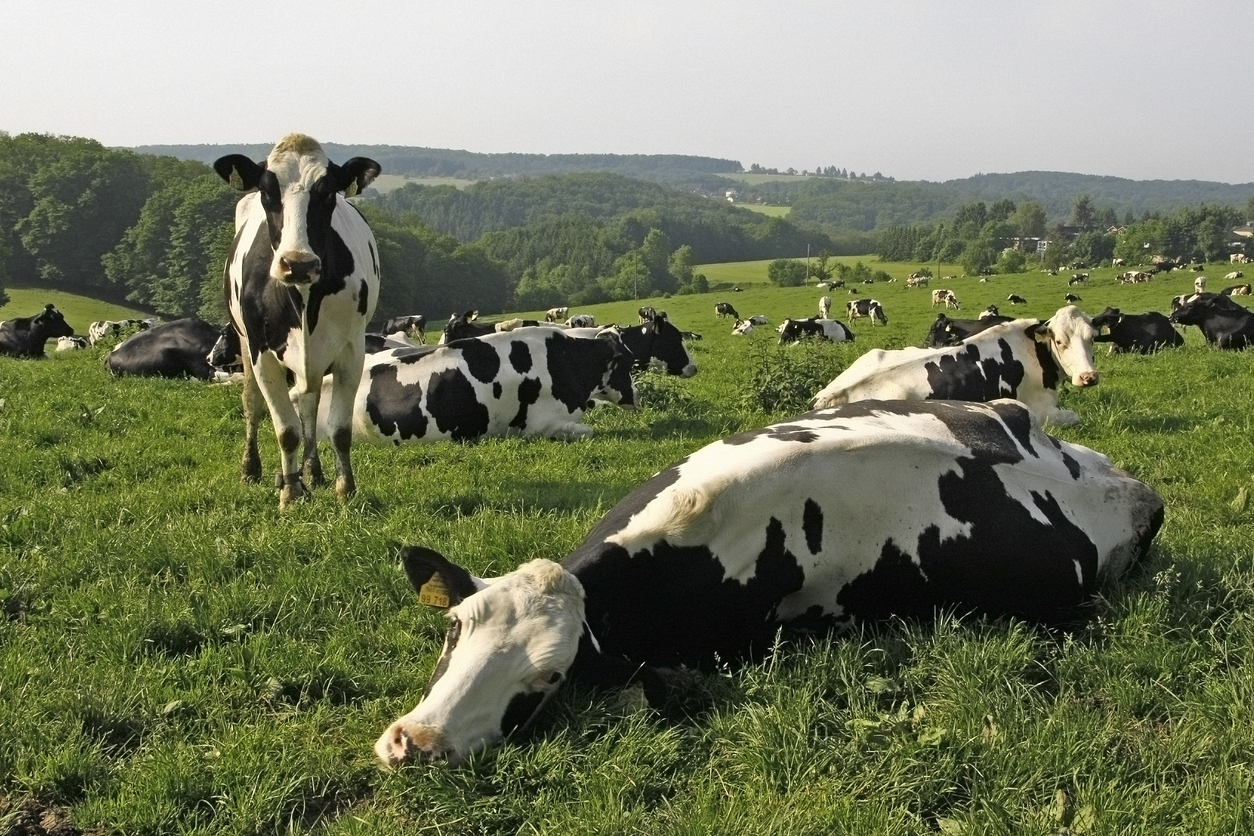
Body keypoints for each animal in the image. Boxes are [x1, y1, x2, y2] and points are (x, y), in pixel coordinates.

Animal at [213, 133, 381, 509]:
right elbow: (286, 430)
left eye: (327, 192)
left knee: (308, 403)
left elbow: (338, 429)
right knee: (253, 404)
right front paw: (289, 494)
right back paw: (253, 470)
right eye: (267, 191)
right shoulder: (261, 352)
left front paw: (344, 488)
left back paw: (312, 472)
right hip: (245, 343)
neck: (304, 298)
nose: (298, 263)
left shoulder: (352, 349)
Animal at [812, 306, 1100, 427]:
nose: (1089, 377)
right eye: (1060, 341)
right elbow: (1076, 417)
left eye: (1092, 337)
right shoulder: (1042, 412)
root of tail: (829, 395)